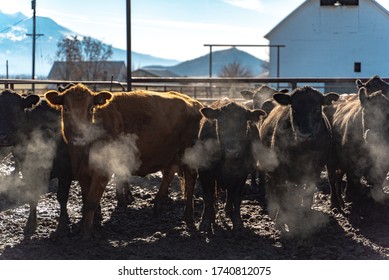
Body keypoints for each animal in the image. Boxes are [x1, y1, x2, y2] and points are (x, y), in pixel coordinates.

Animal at [44, 83, 203, 238]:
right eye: (66, 108)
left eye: (91, 109)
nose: (80, 134)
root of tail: (194, 103)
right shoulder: (82, 172)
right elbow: (85, 200)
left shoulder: (102, 172)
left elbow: (91, 202)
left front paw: (85, 233)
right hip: (170, 155)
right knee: (169, 173)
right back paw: (157, 207)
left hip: (189, 155)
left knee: (190, 180)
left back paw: (188, 216)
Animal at [196, 98, 266, 232]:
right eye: (221, 124)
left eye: (244, 125)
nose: (232, 152)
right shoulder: (204, 171)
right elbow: (208, 197)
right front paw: (205, 222)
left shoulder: (242, 173)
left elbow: (236, 197)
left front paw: (238, 222)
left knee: (230, 193)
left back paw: (228, 210)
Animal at [260, 86, 338, 233]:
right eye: (294, 108)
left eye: (317, 109)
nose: (305, 133)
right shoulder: (280, 169)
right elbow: (281, 193)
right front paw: (282, 219)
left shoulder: (315, 169)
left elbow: (308, 193)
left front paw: (305, 214)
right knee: (272, 186)